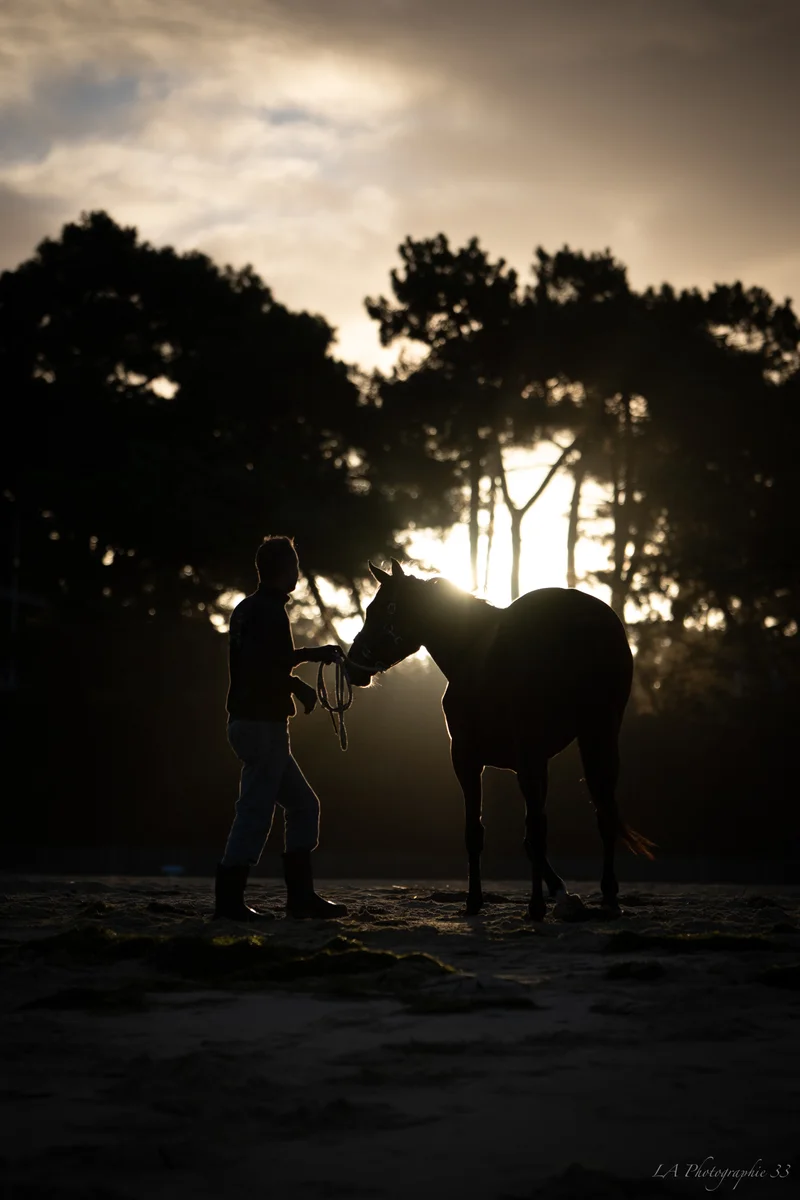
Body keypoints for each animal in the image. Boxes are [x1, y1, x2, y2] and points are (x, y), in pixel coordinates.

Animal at [344, 558, 654, 921]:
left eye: (384, 609)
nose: (352, 666)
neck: (473, 653)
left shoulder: (482, 758)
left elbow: (490, 832)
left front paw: (487, 901)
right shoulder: (518, 762)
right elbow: (516, 836)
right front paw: (556, 893)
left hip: (560, 746)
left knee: (559, 824)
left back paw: (553, 904)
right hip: (591, 738)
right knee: (594, 816)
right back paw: (596, 895)